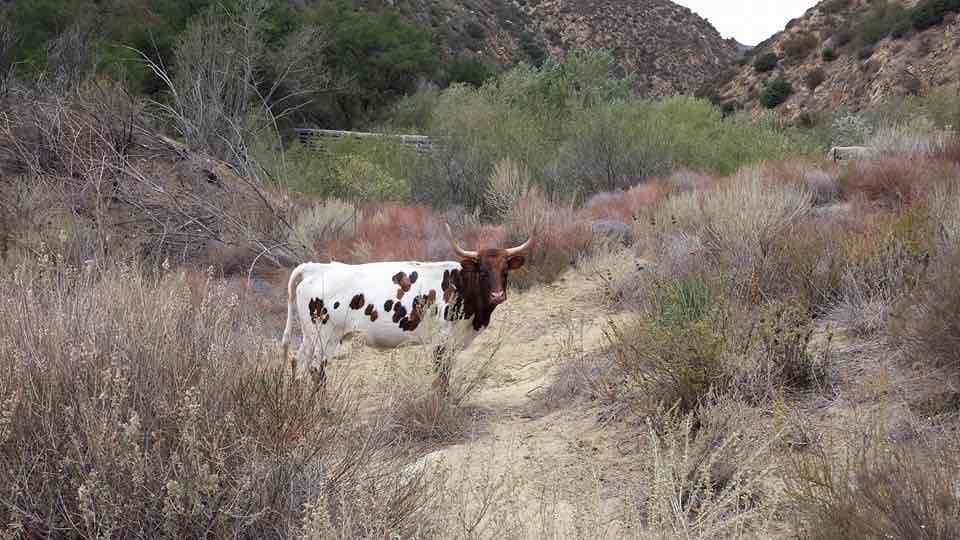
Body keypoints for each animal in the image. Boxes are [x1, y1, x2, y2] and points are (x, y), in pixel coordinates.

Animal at [280, 223, 532, 395]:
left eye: (505, 270)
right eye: (482, 271)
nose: (498, 295)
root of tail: (316, 268)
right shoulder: (441, 340)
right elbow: (441, 374)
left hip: (310, 336)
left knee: (299, 363)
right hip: (324, 336)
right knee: (315, 369)